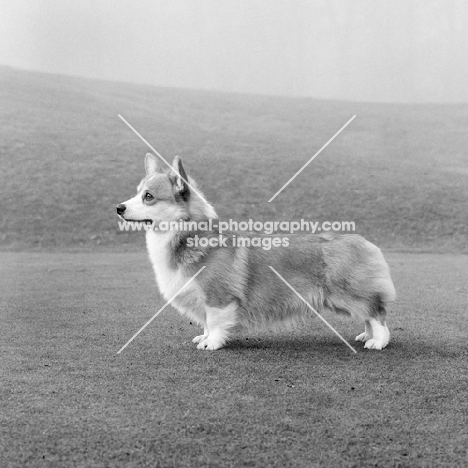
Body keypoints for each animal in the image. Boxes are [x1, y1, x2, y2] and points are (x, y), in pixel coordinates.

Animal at [116, 154, 394, 352]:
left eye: (148, 196)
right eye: (137, 192)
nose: (118, 208)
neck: (189, 235)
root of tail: (365, 242)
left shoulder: (217, 297)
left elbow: (214, 322)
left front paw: (211, 343)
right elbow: (205, 322)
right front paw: (203, 337)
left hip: (350, 294)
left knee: (377, 315)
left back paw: (377, 342)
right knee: (369, 316)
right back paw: (365, 336)